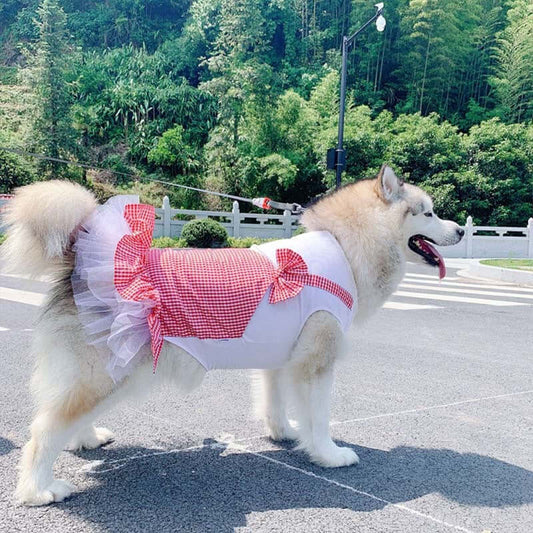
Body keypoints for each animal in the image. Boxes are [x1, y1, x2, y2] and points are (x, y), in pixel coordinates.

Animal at [2, 165, 462, 502]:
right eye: (428, 212)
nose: (459, 230)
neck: (344, 249)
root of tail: (81, 256)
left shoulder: (280, 359)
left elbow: (275, 403)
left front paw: (283, 433)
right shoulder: (316, 364)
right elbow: (319, 419)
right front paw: (328, 455)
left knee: (67, 418)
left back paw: (86, 439)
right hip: (103, 374)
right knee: (44, 430)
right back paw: (39, 490)